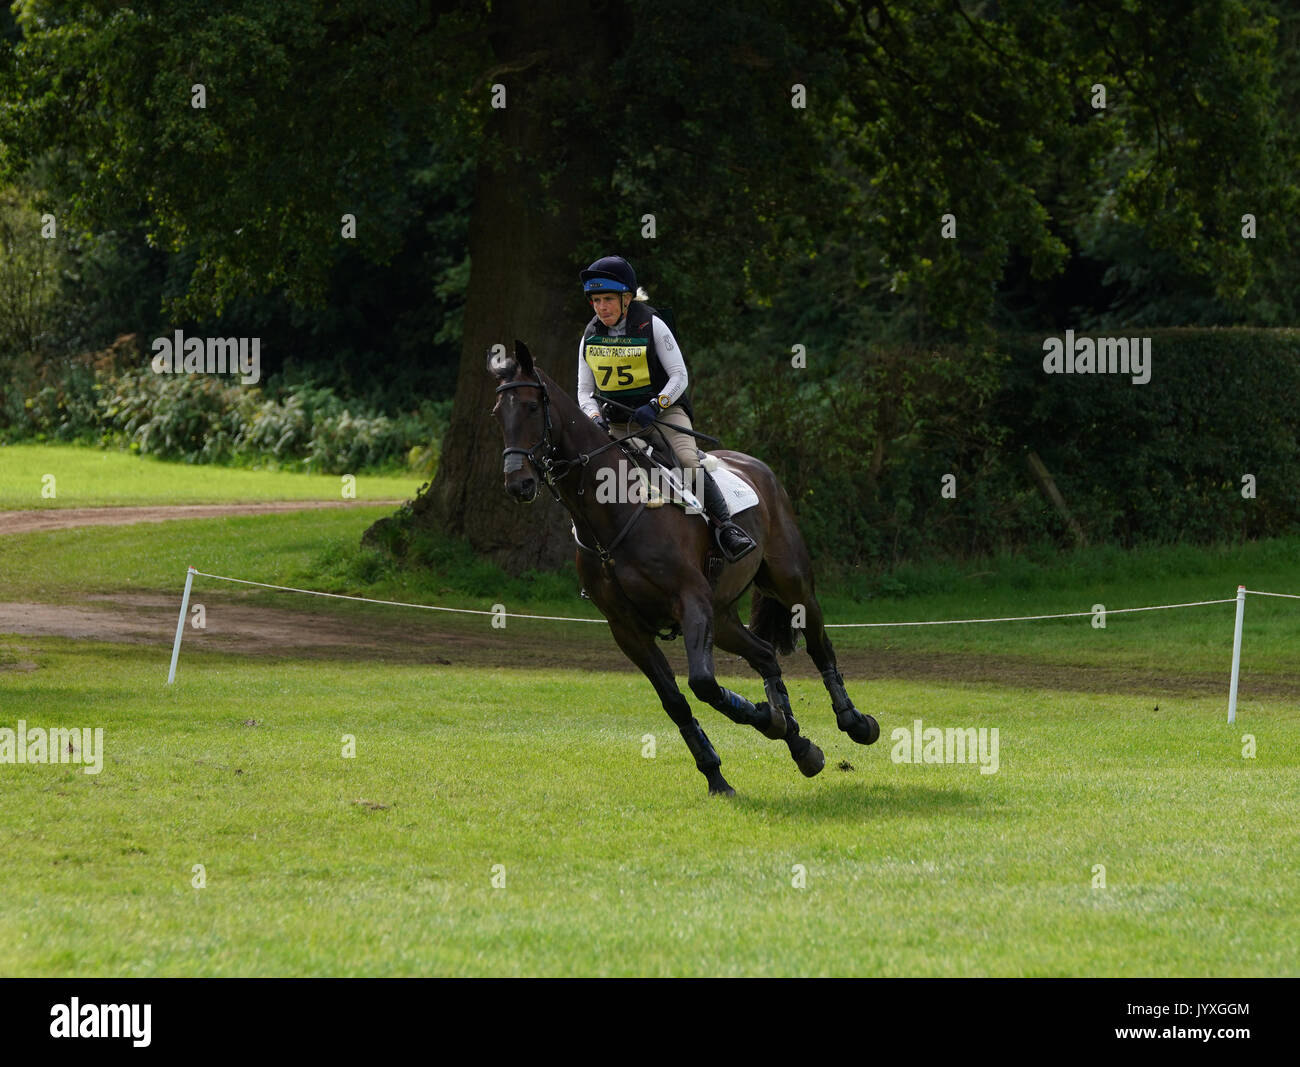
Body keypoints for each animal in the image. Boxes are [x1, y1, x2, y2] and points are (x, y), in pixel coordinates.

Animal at [488, 337, 883, 795]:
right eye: (498, 414)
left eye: (532, 407)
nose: (519, 483)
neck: (615, 512)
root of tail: (756, 466)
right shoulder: (628, 629)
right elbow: (676, 701)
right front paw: (722, 769)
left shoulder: (690, 602)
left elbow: (703, 684)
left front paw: (766, 722)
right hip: (723, 614)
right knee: (765, 655)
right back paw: (801, 746)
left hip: (790, 584)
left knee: (820, 644)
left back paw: (855, 723)